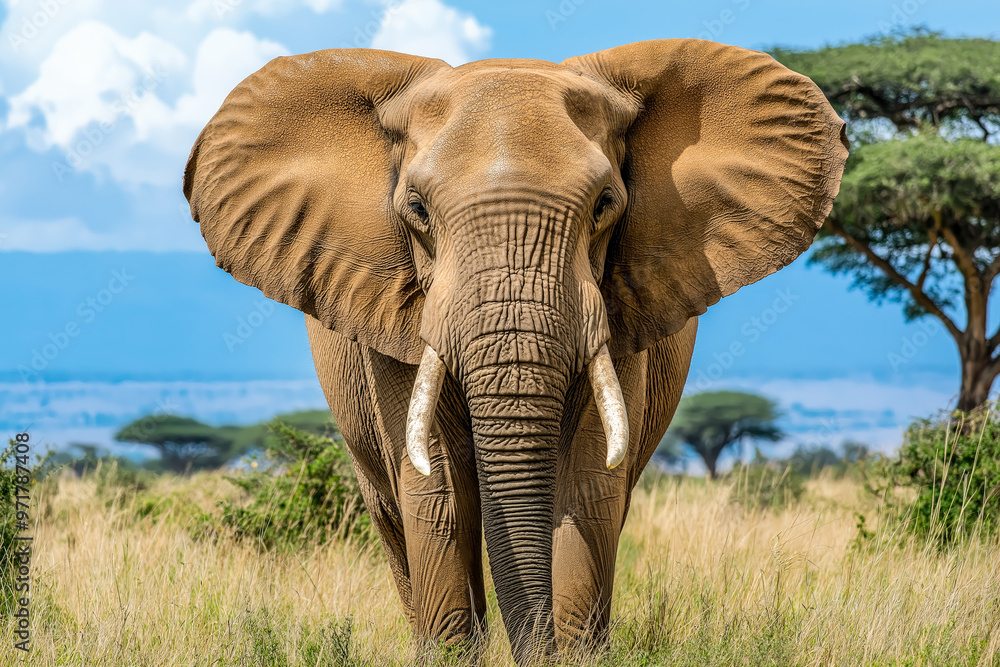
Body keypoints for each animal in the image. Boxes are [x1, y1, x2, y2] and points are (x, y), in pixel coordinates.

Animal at [183, 38, 847, 664]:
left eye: (606, 205)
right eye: (416, 209)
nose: (537, 649)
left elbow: (588, 482)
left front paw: (574, 654)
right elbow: (437, 489)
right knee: (393, 512)